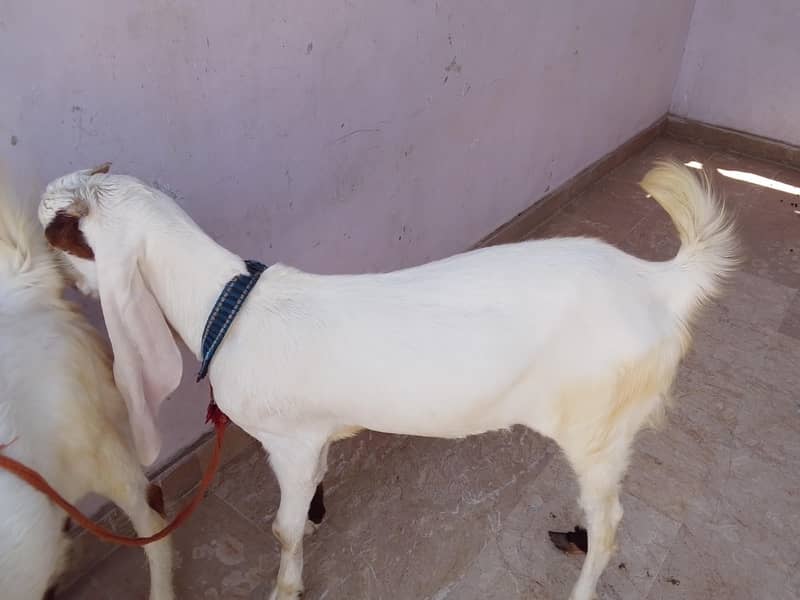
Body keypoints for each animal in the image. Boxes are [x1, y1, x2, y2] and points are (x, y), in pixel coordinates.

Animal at [38, 161, 738, 600]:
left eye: (58, 237)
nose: (64, 286)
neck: (226, 304)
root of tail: (656, 282)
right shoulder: (316, 439)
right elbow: (308, 502)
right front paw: (313, 523)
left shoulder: (289, 442)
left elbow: (281, 528)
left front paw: (285, 585)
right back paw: (574, 530)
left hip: (596, 422)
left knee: (614, 522)